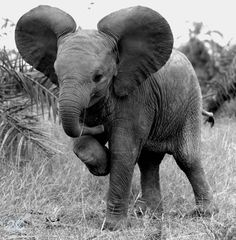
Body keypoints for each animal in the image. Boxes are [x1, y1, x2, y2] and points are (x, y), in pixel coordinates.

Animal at [15, 4, 217, 232]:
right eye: (57, 74)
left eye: (98, 77)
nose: (99, 123)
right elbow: (82, 142)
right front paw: (102, 165)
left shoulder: (136, 95)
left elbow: (123, 149)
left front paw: (112, 227)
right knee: (149, 162)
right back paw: (152, 215)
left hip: (190, 101)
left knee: (187, 158)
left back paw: (204, 214)